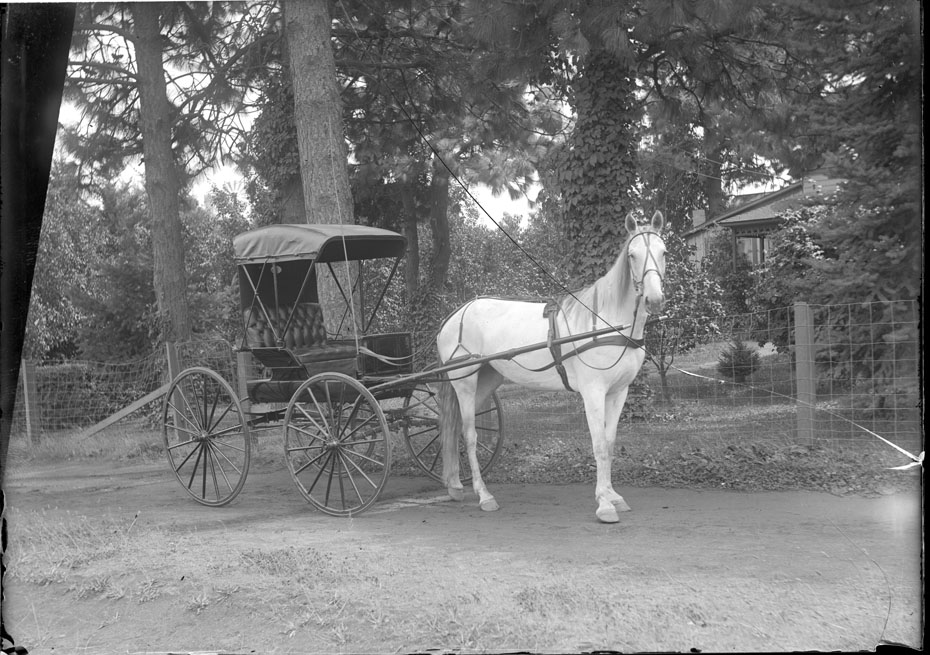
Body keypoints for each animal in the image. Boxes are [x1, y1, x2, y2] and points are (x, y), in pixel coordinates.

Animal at [436, 211, 667, 523]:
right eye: (632, 255)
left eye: (663, 252)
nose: (654, 300)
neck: (605, 321)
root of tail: (454, 316)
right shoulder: (593, 392)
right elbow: (598, 445)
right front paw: (604, 504)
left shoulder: (619, 392)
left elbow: (608, 443)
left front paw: (613, 496)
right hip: (464, 383)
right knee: (470, 435)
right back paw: (484, 496)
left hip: (486, 380)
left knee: (456, 427)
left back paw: (455, 485)